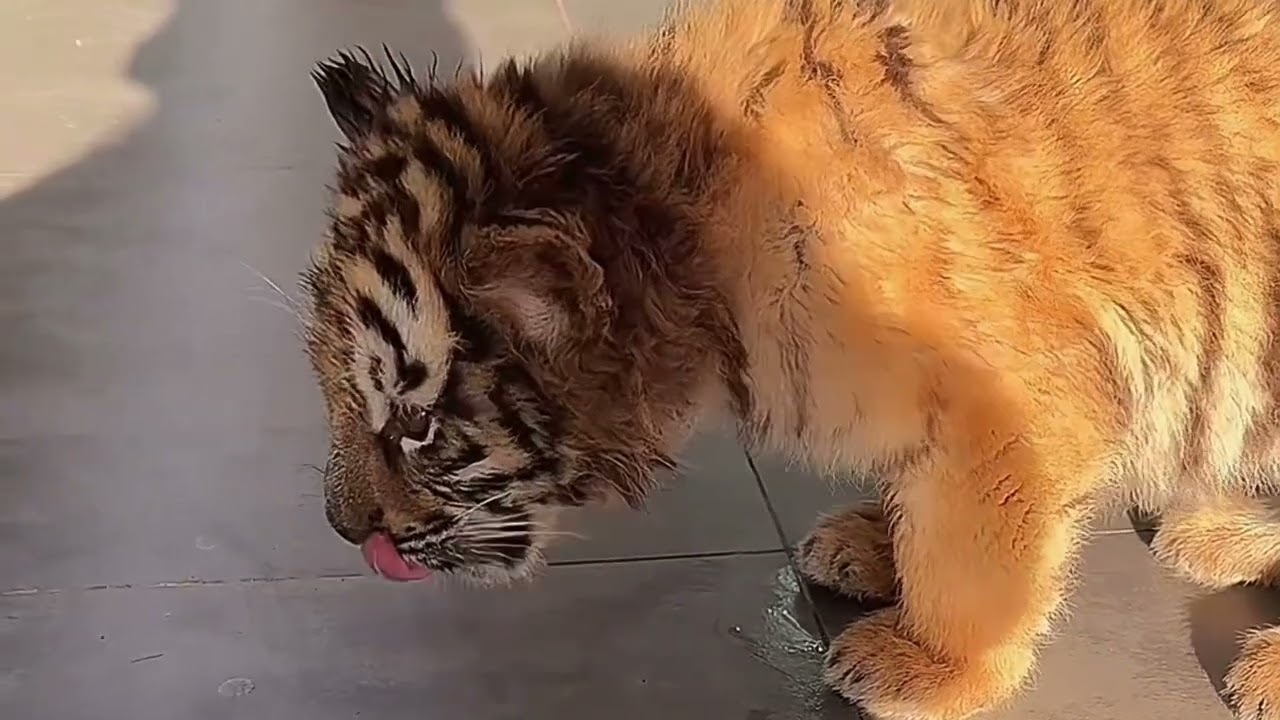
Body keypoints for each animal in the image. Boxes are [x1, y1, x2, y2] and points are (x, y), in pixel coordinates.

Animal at [299, 0, 1280, 717]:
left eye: (417, 426)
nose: (342, 532)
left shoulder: (1016, 405)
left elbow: (970, 551)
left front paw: (935, 664)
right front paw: (875, 544)